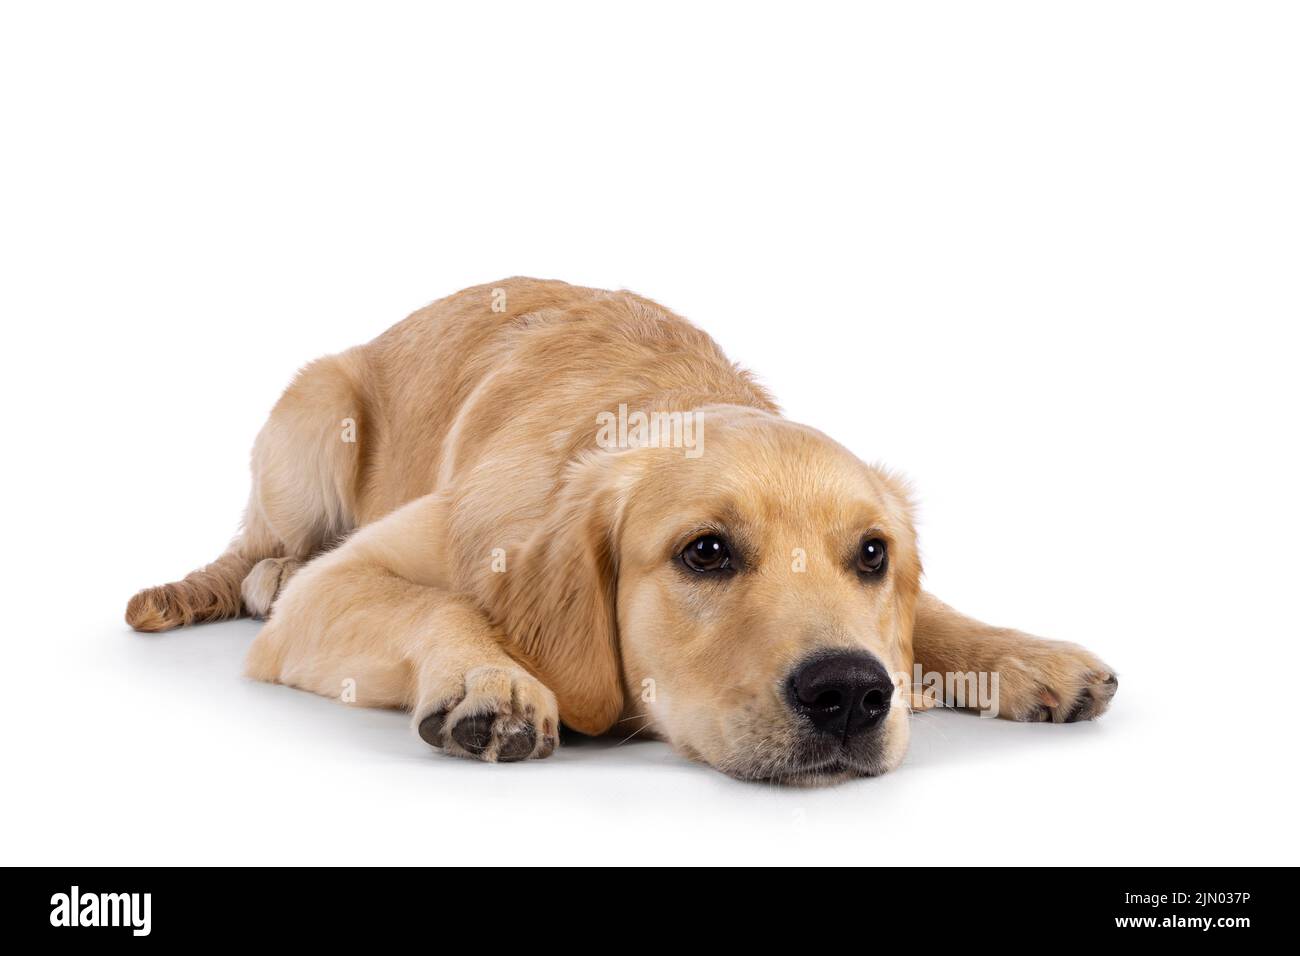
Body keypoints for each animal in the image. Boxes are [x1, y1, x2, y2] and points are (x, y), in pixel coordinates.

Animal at [124, 278, 1118, 785]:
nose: (850, 694)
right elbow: (443, 607)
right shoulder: (345, 581)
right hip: (319, 412)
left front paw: (1024, 655)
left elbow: (935, 616)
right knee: (261, 551)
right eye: (705, 552)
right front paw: (492, 679)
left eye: (873, 554)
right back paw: (266, 574)